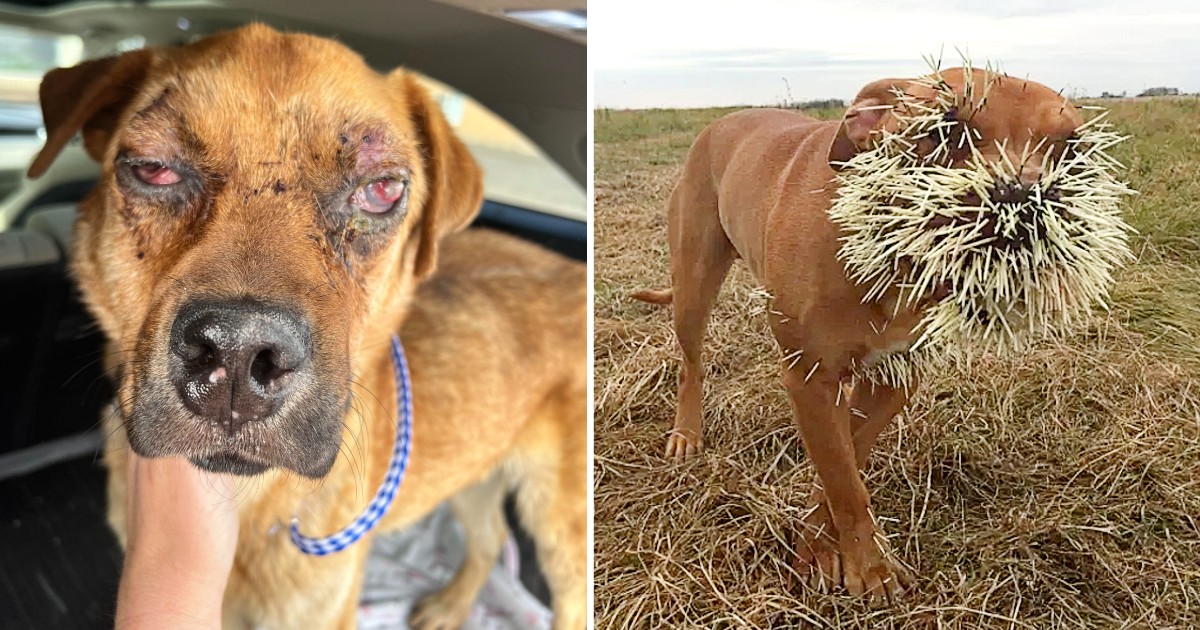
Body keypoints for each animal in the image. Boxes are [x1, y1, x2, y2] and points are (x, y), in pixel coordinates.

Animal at [25, 23, 588, 624]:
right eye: (153, 167)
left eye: (382, 190)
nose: (239, 354)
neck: (253, 507)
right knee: (490, 534)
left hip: (562, 528)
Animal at [633, 69, 1084, 600]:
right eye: (944, 131)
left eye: (1071, 148)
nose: (1023, 200)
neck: (891, 259)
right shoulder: (810, 376)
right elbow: (843, 479)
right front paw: (870, 569)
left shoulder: (894, 378)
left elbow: (845, 460)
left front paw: (821, 547)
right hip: (694, 282)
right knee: (691, 363)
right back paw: (686, 433)